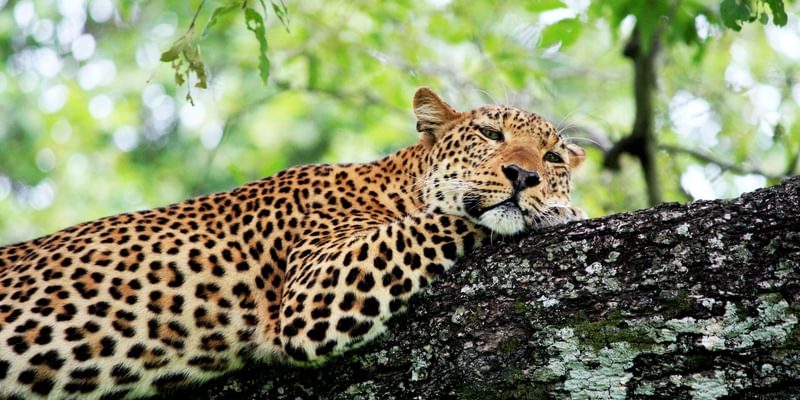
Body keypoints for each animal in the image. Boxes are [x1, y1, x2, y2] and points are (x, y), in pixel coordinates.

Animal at [0, 88, 586, 399]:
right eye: (490, 134)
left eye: (553, 157)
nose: (524, 176)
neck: (393, 183)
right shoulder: (317, 289)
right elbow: (441, 221)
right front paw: (564, 211)